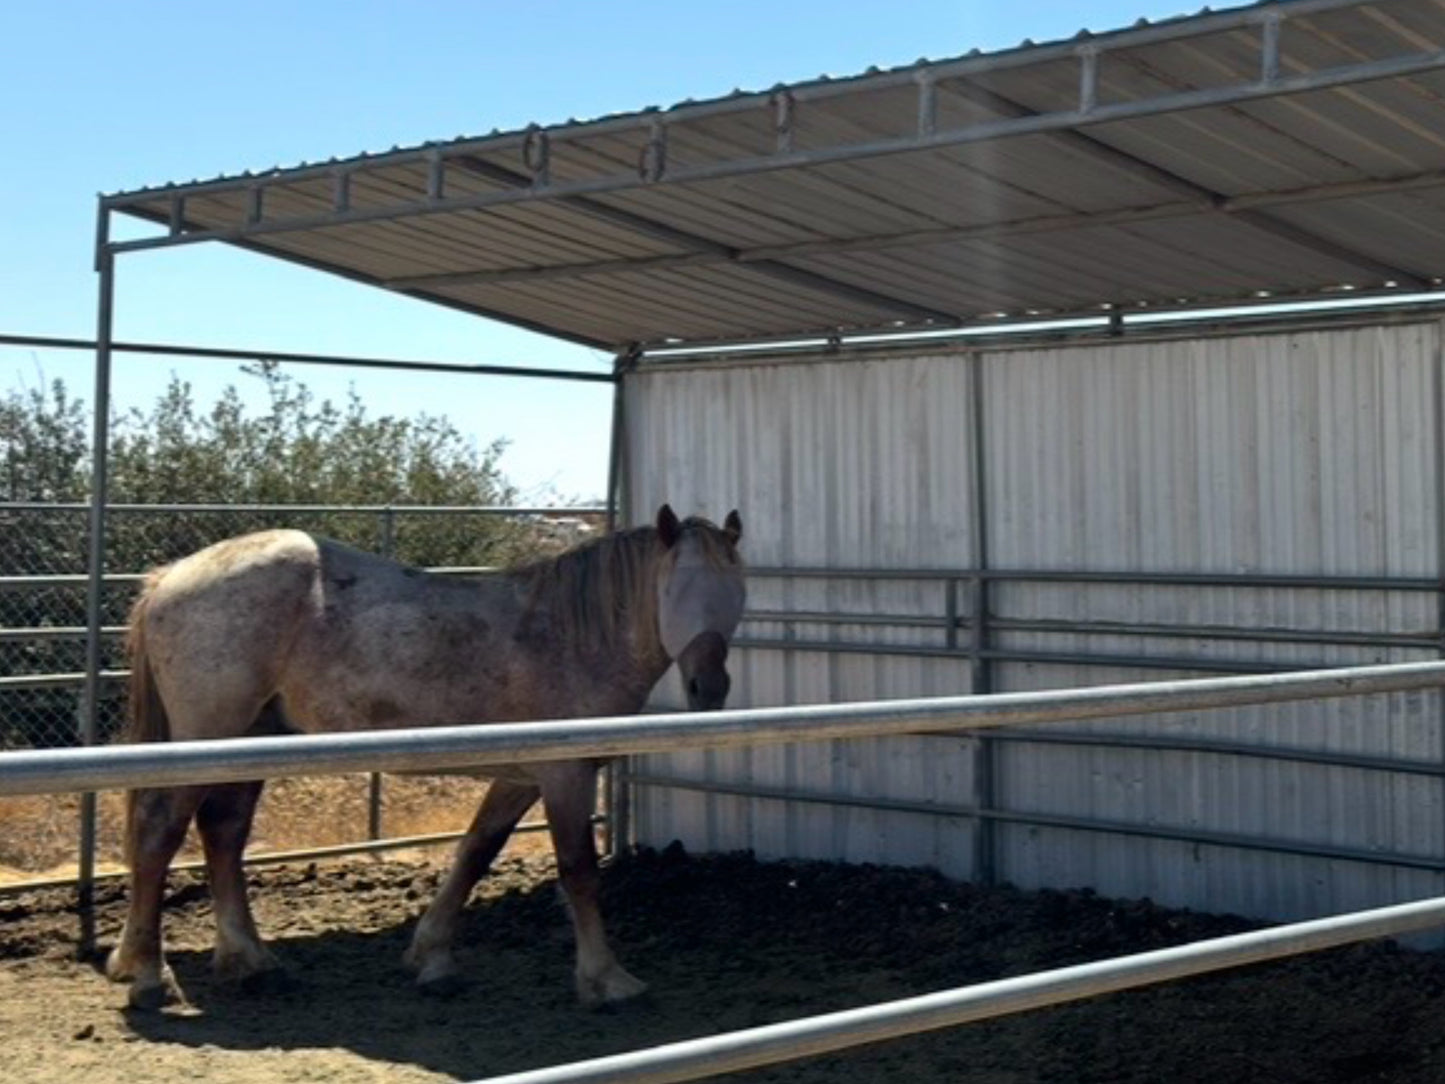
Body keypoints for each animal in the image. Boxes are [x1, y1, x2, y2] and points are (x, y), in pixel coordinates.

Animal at [105, 504, 746, 1010]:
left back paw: (249, 961)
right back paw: (148, 974)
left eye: (737, 592)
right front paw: (606, 981)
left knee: (223, 832)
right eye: (675, 588)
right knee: (161, 832)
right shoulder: (564, 775)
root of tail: (170, 576)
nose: (708, 689)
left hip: (250, 742)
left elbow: (475, 852)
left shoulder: (521, 777)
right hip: (207, 740)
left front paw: (431, 957)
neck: (569, 637)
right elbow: (578, 871)